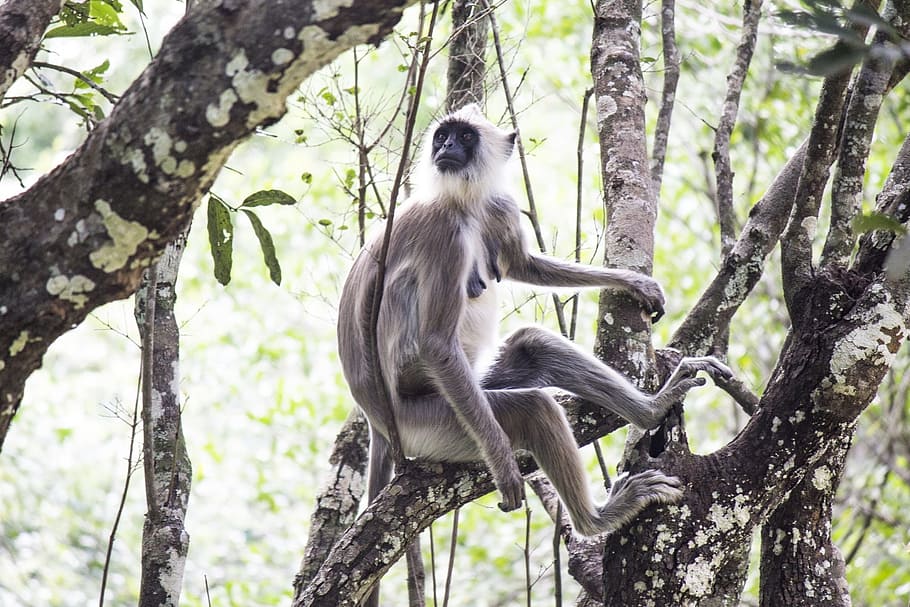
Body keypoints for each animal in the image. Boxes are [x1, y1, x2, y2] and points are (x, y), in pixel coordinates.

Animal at [337, 103, 731, 547]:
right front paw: (505, 467)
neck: (464, 201)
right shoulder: (444, 232)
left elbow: (522, 265)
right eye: (443, 137)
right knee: (534, 407)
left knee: (533, 344)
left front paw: (634, 284)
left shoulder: (499, 205)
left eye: (464, 137)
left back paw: (649, 411)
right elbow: (437, 343)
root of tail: (379, 422)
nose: (448, 147)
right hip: (430, 422)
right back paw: (596, 520)